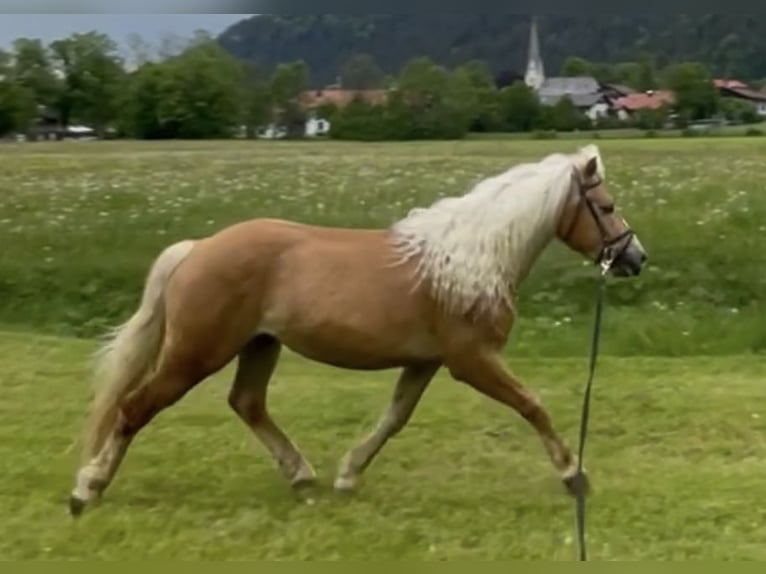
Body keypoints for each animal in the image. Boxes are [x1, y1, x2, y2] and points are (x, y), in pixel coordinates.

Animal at [69, 143, 647, 516]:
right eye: (608, 206)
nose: (635, 258)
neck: (467, 261)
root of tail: (197, 249)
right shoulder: (472, 360)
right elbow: (532, 406)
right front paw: (574, 476)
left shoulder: (425, 362)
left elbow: (393, 419)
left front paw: (348, 474)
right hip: (196, 353)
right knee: (134, 408)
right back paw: (87, 490)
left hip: (260, 345)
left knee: (247, 403)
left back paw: (303, 476)